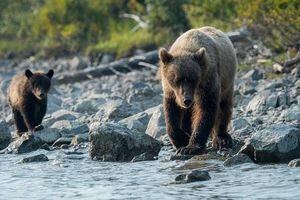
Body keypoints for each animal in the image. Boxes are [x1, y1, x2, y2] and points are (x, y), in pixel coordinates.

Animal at [159, 26, 237, 155]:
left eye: (193, 79)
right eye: (176, 79)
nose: (186, 100)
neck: (187, 45)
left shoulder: (208, 81)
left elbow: (205, 110)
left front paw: (191, 147)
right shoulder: (170, 91)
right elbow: (171, 112)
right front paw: (181, 141)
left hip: (227, 83)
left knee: (224, 107)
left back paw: (222, 139)